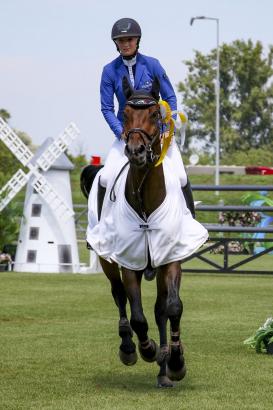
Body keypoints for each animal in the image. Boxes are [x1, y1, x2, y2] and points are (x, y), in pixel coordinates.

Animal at [81, 77, 206, 388]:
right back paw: (129, 347)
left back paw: (164, 371)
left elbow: (171, 307)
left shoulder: (170, 258)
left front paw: (175, 361)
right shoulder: (129, 261)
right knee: (119, 296)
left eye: (153, 114)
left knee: (160, 309)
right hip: (107, 259)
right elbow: (137, 315)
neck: (145, 198)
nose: (136, 151)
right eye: (125, 114)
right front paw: (147, 349)